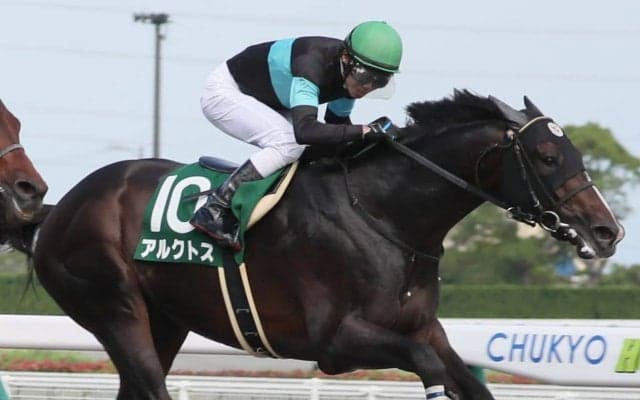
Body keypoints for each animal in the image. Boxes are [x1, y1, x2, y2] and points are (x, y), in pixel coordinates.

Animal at [28, 91, 623, 400]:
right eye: (548, 157)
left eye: (574, 153)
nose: (607, 231)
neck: (385, 214)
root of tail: (60, 208)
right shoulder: (332, 342)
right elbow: (426, 368)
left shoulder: (423, 328)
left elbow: (468, 382)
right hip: (115, 307)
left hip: (167, 321)